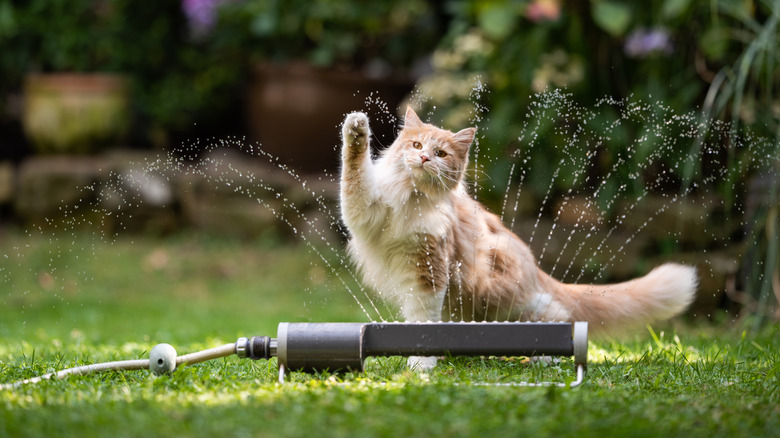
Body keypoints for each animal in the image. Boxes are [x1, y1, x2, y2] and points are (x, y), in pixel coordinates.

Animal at [338, 106, 696, 370]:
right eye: (415, 146)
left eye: (439, 153)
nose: (424, 159)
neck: (412, 198)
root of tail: (535, 268)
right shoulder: (365, 211)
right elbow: (353, 173)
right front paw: (356, 130)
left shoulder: (430, 269)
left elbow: (423, 320)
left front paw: (421, 363)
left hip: (504, 298)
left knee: (558, 315)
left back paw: (547, 356)